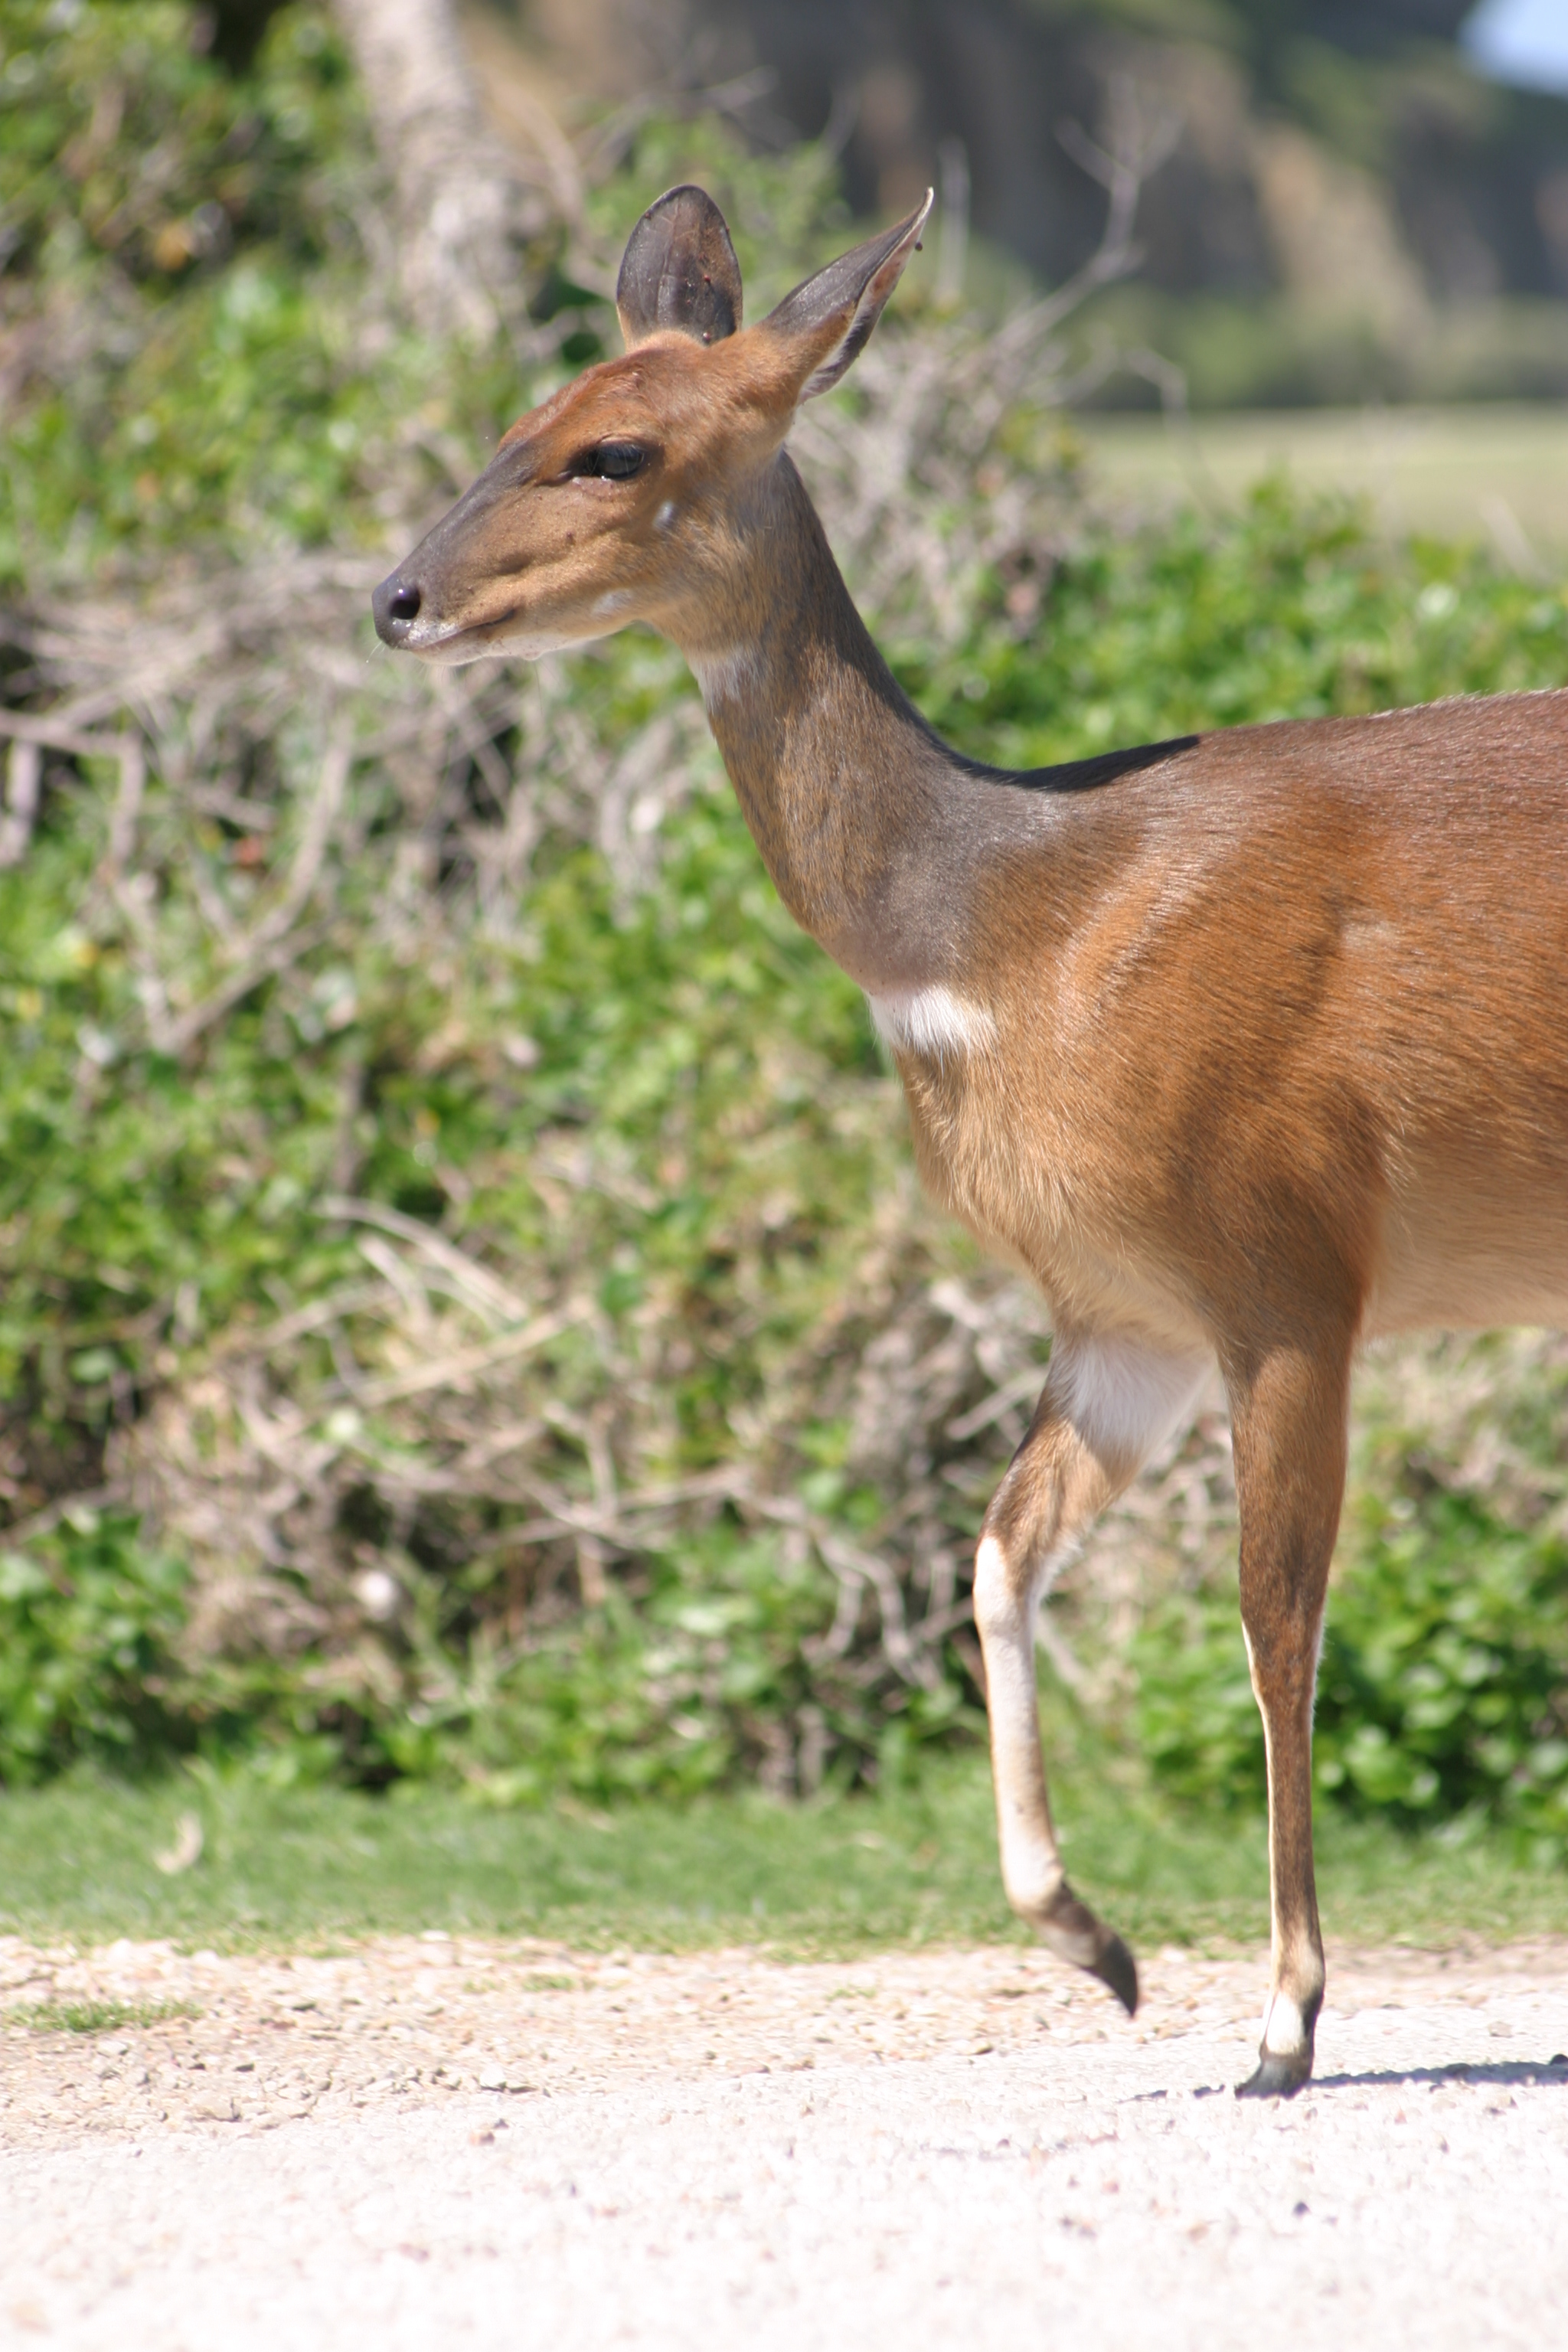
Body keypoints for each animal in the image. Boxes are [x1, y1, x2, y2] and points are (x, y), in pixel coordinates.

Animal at [376, 183, 1568, 2098]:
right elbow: (998, 1558)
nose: (397, 599)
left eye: (613, 448)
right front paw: (1102, 1951)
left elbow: (1273, 1622)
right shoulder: (1120, 1312)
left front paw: (1283, 2022)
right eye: (525, 412)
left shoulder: (1290, 1268)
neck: (1020, 926)